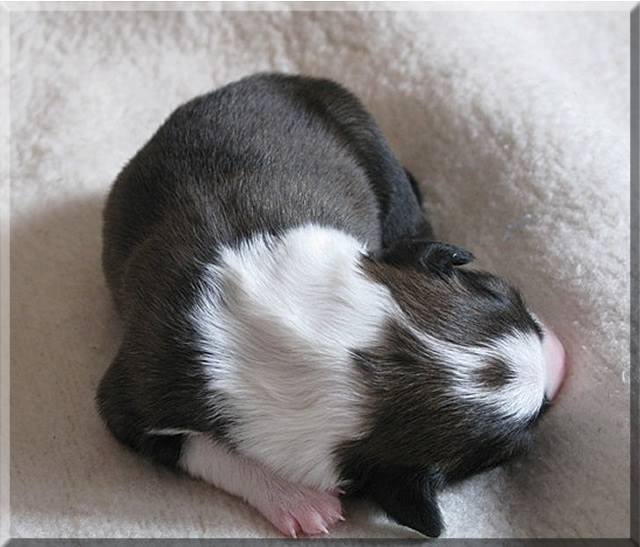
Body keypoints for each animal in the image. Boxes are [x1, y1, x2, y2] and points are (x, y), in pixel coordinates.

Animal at [97, 73, 566, 538]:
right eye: (513, 449)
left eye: (509, 294)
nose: (563, 358)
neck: (327, 342)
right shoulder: (135, 397)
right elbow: (201, 447)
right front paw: (296, 499)